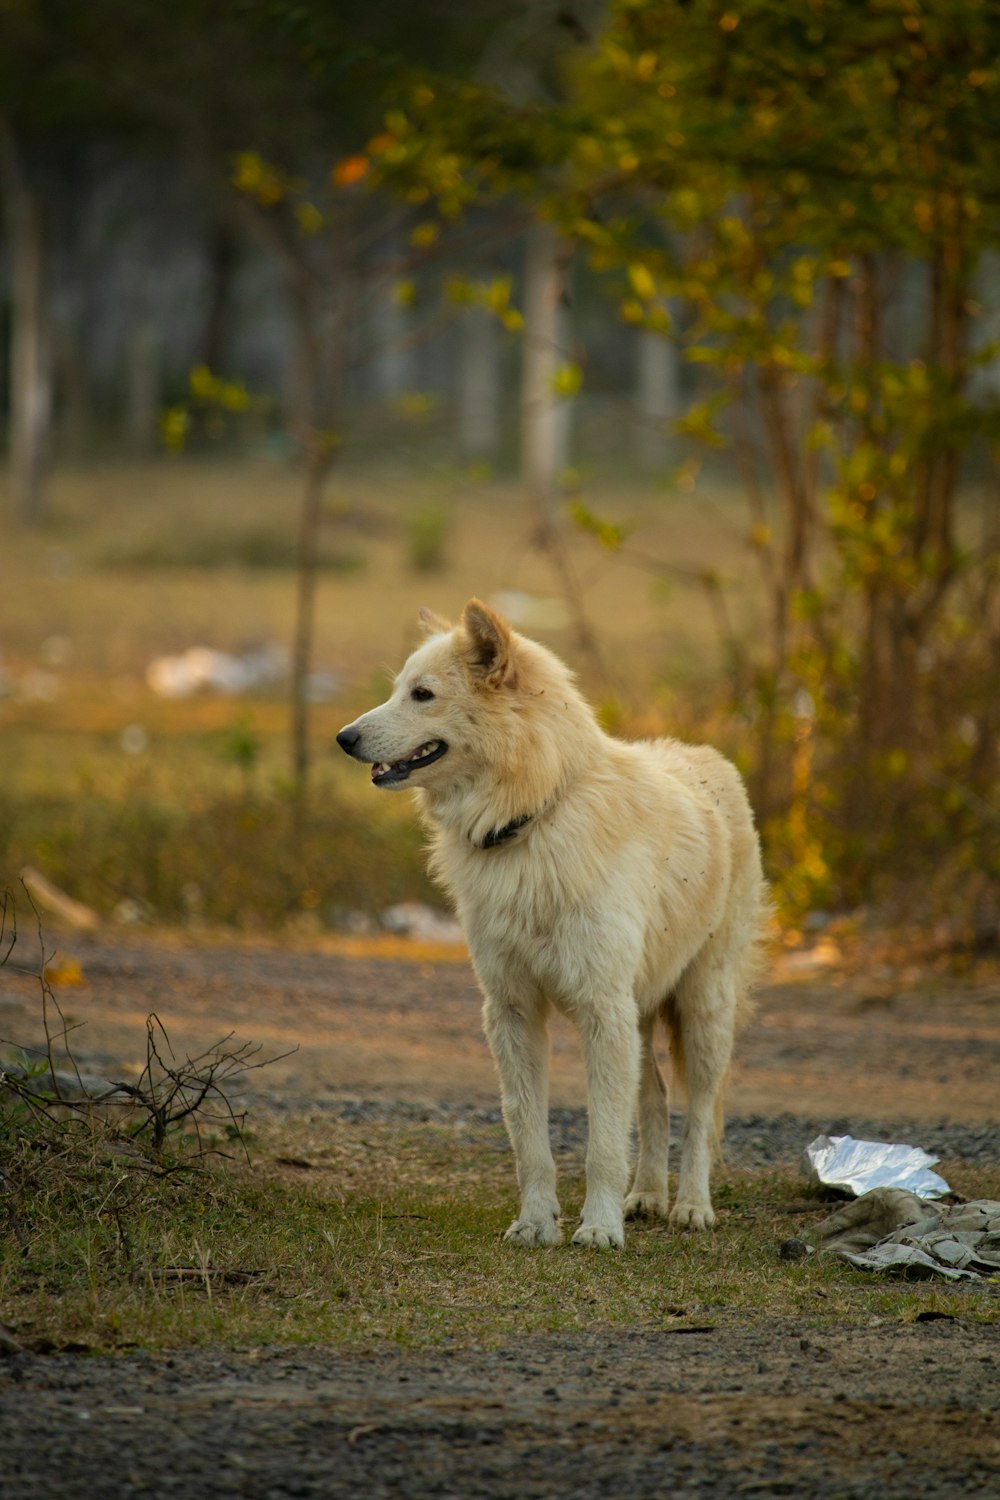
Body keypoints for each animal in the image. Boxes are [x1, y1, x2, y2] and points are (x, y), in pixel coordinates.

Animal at [340, 603, 773, 1248]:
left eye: (422, 694)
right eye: (399, 690)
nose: (343, 738)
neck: (535, 816)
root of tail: (711, 760)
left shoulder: (601, 1011)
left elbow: (601, 1146)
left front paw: (598, 1229)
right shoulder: (514, 1012)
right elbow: (529, 1141)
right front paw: (536, 1223)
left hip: (702, 1011)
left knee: (697, 1115)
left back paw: (691, 1206)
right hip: (641, 1016)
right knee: (654, 1101)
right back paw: (646, 1196)